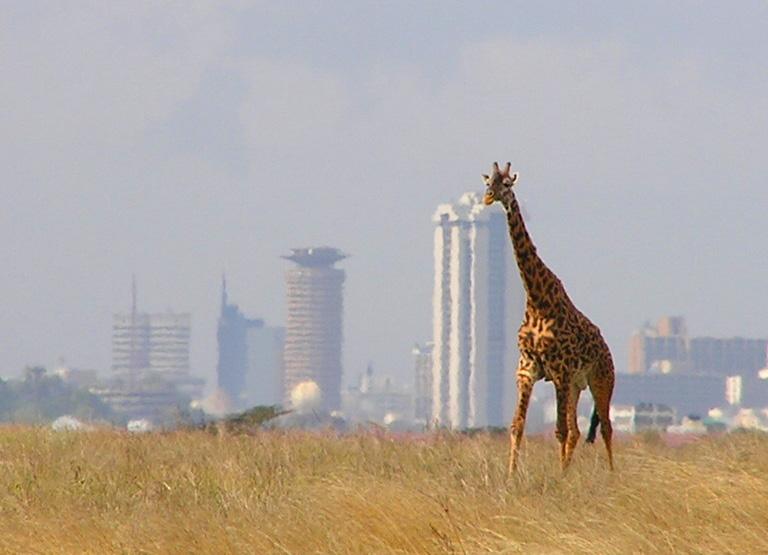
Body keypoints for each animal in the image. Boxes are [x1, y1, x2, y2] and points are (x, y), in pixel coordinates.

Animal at [484, 161, 616, 474]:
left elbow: (559, 430)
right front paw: (511, 475)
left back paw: (612, 474)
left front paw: (559, 478)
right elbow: (517, 426)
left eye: (507, 184)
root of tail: (607, 350)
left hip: (601, 379)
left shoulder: (560, 370)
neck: (537, 301)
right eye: (486, 182)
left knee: (606, 427)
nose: (488, 197)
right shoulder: (527, 369)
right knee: (579, 430)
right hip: (577, 386)